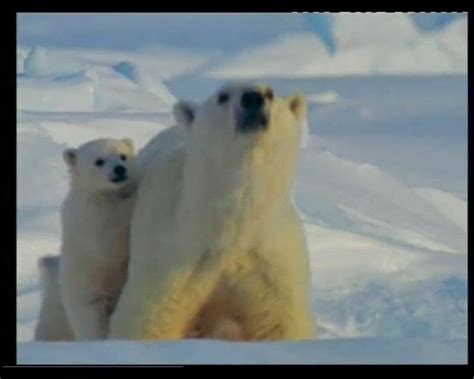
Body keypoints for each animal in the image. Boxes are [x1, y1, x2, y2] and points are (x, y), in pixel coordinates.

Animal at [59, 137, 139, 342]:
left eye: (123, 155)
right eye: (99, 161)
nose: (120, 169)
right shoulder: (94, 220)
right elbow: (117, 223)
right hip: (87, 298)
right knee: (93, 326)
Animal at [107, 82, 314, 342]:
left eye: (270, 93)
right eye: (222, 96)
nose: (253, 99)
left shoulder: (269, 258)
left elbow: (282, 321)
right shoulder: (172, 254)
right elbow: (148, 319)